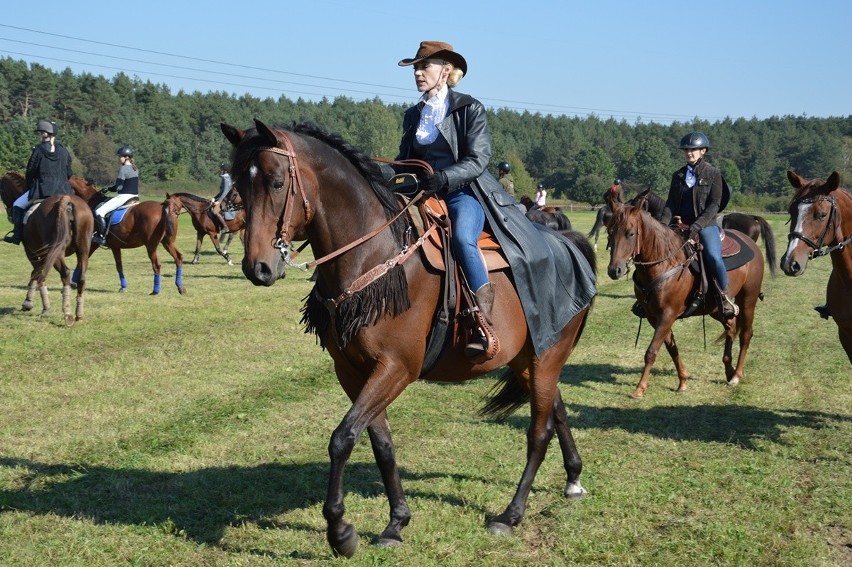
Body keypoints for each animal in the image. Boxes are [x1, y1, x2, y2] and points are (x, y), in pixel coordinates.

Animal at [0, 172, 93, 324]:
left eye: (1, 191)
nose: (9, 215)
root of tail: (66, 200)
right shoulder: (44, 254)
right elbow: (36, 273)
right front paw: (31, 303)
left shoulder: (31, 251)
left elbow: (37, 273)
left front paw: (37, 305)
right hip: (83, 249)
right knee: (81, 278)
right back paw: (79, 314)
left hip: (55, 251)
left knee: (65, 273)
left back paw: (67, 313)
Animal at [225, 121, 600, 560]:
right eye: (239, 186)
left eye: (277, 181)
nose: (258, 267)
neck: (374, 256)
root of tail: (569, 242)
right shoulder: (353, 371)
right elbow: (381, 445)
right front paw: (396, 523)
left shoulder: (396, 368)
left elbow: (342, 438)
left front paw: (340, 531)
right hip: (530, 357)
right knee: (557, 409)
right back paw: (573, 479)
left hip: (545, 357)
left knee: (539, 433)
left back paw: (510, 515)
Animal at [604, 197, 764, 398]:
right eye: (609, 231)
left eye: (630, 233)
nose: (614, 270)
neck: (665, 263)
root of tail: (751, 244)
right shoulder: (654, 316)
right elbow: (671, 348)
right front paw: (683, 381)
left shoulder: (668, 315)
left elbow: (651, 351)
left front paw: (640, 388)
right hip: (715, 308)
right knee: (731, 326)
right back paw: (729, 370)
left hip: (748, 299)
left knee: (746, 334)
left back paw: (737, 375)